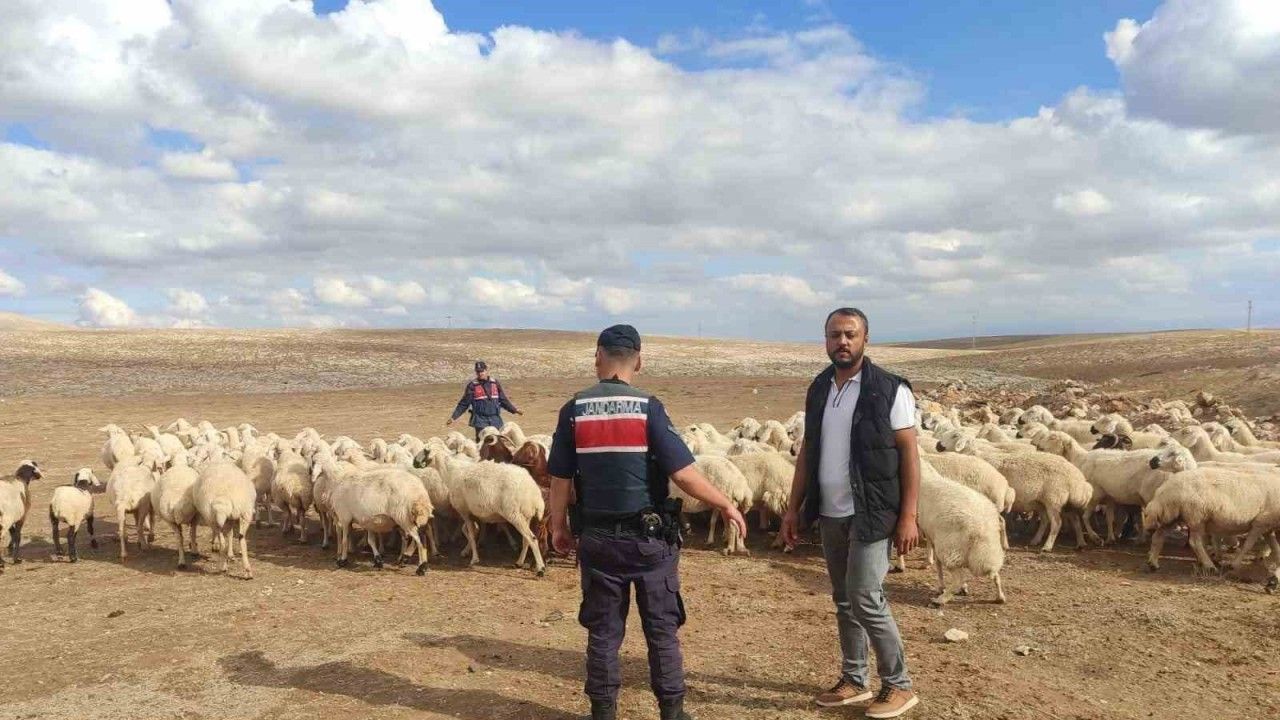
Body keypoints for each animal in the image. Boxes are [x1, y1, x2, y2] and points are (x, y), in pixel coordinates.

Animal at [916, 462, 1006, 606]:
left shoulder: (932, 535)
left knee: (957, 579)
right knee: (996, 575)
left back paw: (940, 600)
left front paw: (941, 587)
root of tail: (980, 528)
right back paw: (1000, 597)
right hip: (988, 550)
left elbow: (938, 564)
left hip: (949, 550)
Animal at [936, 431, 1098, 551]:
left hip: (1055, 499)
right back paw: (1076, 542)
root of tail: (1076, 476)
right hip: (1053, 501)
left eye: (955, 435)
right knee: (1070, 519)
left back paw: (1047, 546)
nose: (938, 445)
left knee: (1057, 523)